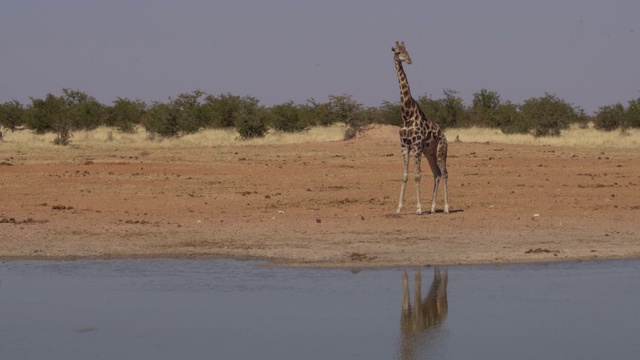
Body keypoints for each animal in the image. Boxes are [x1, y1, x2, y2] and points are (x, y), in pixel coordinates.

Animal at [390, 40, 450, 214]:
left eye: (407, 50)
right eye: (398, 52)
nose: (409, 60)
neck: (406, 115)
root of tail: (444, 136)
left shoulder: (416, 145)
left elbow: (417, 175)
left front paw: (418, 208)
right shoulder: (404, 146)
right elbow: (405, 175)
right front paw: (399, 208)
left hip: (441, 150)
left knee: (445, 173)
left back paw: (446, 207)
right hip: (429, 152)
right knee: (436, 174)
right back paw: (432, 208)